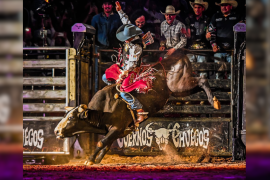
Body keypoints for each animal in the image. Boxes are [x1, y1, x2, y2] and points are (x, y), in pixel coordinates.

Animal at [53, 54, 220, 165]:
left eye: (71, 118)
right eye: (65, 115)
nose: (56, 131)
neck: (103, 109)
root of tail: (176, 57)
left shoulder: (117, 127)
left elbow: (102, 143)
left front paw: (90, 160)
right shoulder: (118, 131)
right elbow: (106, 145)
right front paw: (98, 159)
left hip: (178, 85)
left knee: (202, 79)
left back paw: (215, 102)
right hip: (181, 90)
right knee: (199, 82)